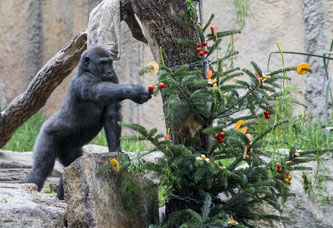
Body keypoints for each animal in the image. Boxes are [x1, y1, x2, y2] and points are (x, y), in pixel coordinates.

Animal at [25, 46, 152, 200]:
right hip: (47, 133)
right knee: (42, 168)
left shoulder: (113, 79)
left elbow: (111, 115)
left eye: (110, 62)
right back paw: (30, 189)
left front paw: (116, 151)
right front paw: (133, 90)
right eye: (102, 63)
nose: (110, 71)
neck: (85, 69)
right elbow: (99, 92)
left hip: (69, 149)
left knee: (71, 165)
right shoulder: (85, 81)